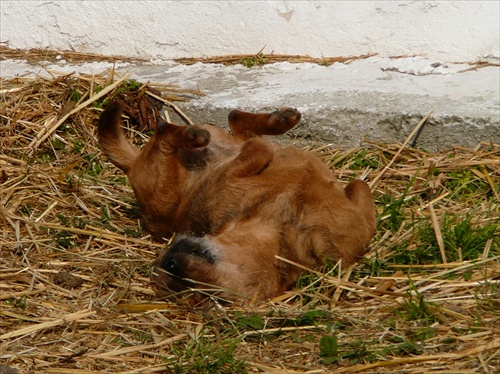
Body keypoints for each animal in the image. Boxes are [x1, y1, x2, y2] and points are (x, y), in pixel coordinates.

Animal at [98, 100, 376, 300]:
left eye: (206, 291)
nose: (170, 262)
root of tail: (132, 165)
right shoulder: (228, 178)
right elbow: (258, 148)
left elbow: (360, 185)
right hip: (163, 188)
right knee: (170, 134)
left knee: (220, 125)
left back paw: (275, 121)